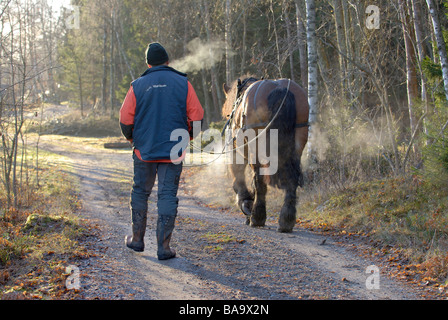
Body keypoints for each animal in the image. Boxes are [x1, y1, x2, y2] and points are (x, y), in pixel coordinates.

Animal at [222, 77, 310, 232]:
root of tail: (279, 87)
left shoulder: (236, 154)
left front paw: (246, 204)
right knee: (292, 180)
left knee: (259, 180)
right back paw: (286, 220)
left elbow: (239, 179)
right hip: (298, 143)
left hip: (255, 148)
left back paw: (257, 217)